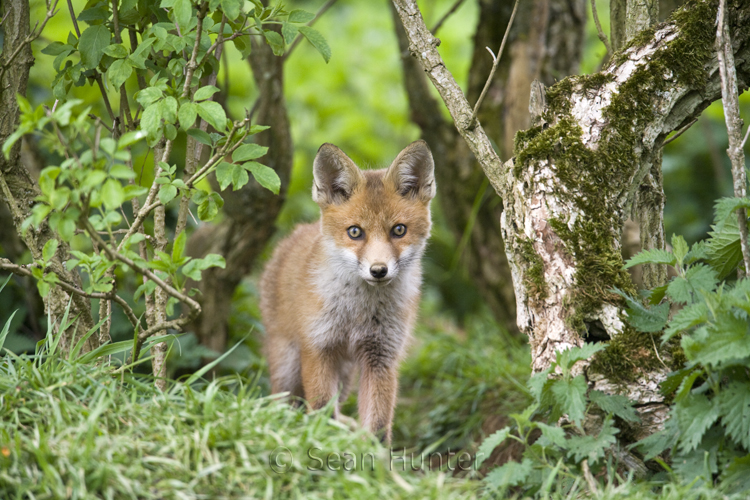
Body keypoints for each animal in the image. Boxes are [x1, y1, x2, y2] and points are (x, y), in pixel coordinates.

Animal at [260, 141, 434, 442]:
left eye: (399, 230)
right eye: (355, 232)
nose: (378, 270)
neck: (358, 314)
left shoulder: (382, 355)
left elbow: (378, 426)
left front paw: (373, 455)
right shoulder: (319, 346)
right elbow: (320, 408)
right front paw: (320, 443)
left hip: (345, 373)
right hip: (288, 364)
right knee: (285, 402)